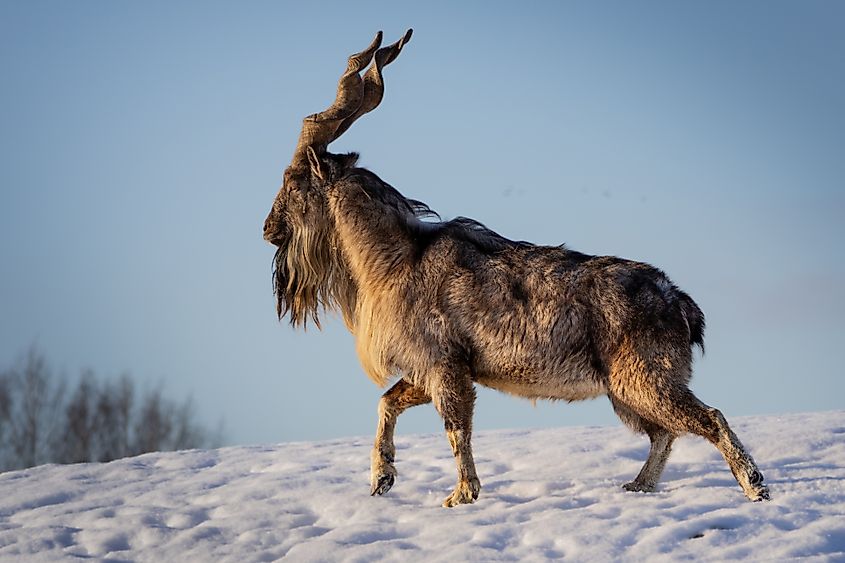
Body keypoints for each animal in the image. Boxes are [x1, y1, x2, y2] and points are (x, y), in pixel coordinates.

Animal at [262, 30, 770, 506]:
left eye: (293, 179)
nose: (267, 228)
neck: (397, 259)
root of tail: (680, 304)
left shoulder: (445, 366)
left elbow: (455, 429)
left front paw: (461, 494)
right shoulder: (436, 368)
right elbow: (388, 401)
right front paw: (381, 478)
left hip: (645, 377)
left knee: (706, 418)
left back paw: (755, 486)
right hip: (630, 390)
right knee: (665, 432)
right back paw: (638, 486)